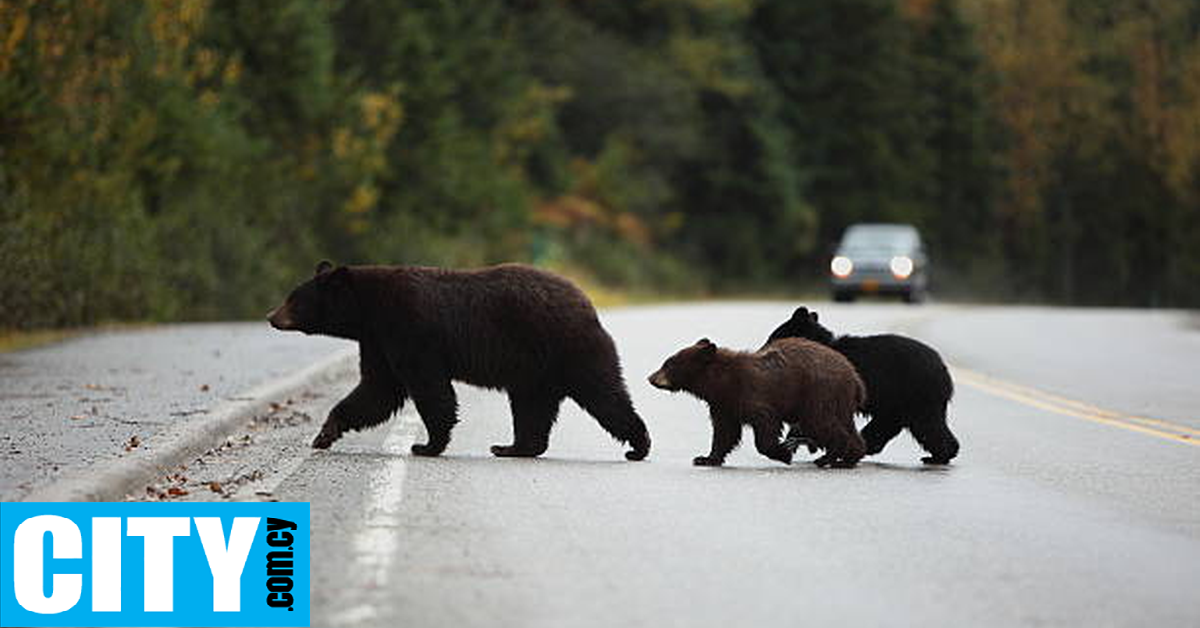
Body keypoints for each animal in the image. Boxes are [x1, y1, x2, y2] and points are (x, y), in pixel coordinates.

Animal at [268, 260, 652, 461]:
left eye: (293, 299)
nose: (271, 316)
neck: (369, 310)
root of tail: (587, 303)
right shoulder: (377, 341)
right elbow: (377, 389)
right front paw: (325, 433)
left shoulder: (409, 328)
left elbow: (427, 387)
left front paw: (426, 444)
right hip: (534, 372)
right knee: (532, 409)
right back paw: (512, 447)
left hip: (569, 349)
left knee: (604, 395)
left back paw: (639, 445)